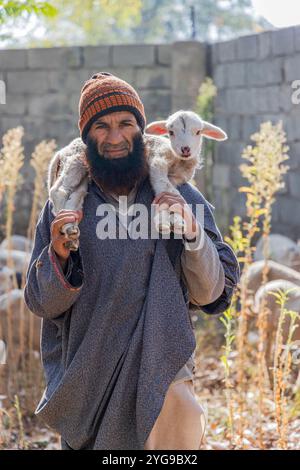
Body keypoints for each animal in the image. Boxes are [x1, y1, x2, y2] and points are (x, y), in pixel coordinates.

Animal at [47, 110, 227, 250]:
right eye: (171, 132)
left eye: (198, 132)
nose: (185, 149)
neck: (178, 161)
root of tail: (62, 151)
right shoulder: (157, 161)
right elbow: (165, 188)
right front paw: (170, 221)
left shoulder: (175, 177)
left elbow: (168, 193)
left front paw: (170, 219)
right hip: (75, 162)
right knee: (58, 191)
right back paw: (64, 226)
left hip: (83, 176)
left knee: (75, 196)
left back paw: (70, 229)